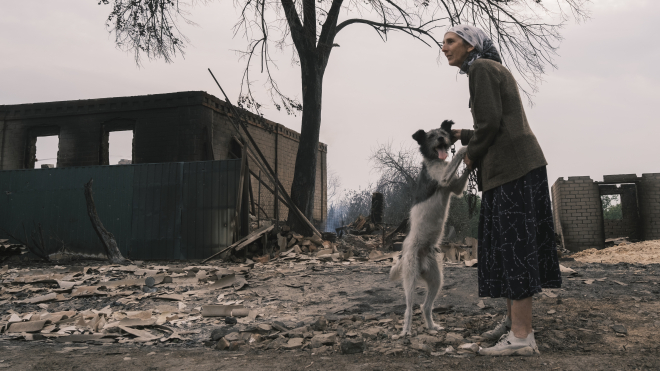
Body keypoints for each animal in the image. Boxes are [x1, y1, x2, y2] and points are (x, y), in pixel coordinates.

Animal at [390, 121, 472, 338]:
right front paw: (468, 146)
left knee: (425, 306)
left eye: (443, 133)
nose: (443, 139)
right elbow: (458, 153)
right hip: (410, 280)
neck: (436, 160)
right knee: (409, 308)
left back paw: (432, 327)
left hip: (436, 280)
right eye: (431, 137)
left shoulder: (454, 187)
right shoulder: (443, 178)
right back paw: (405, 332)